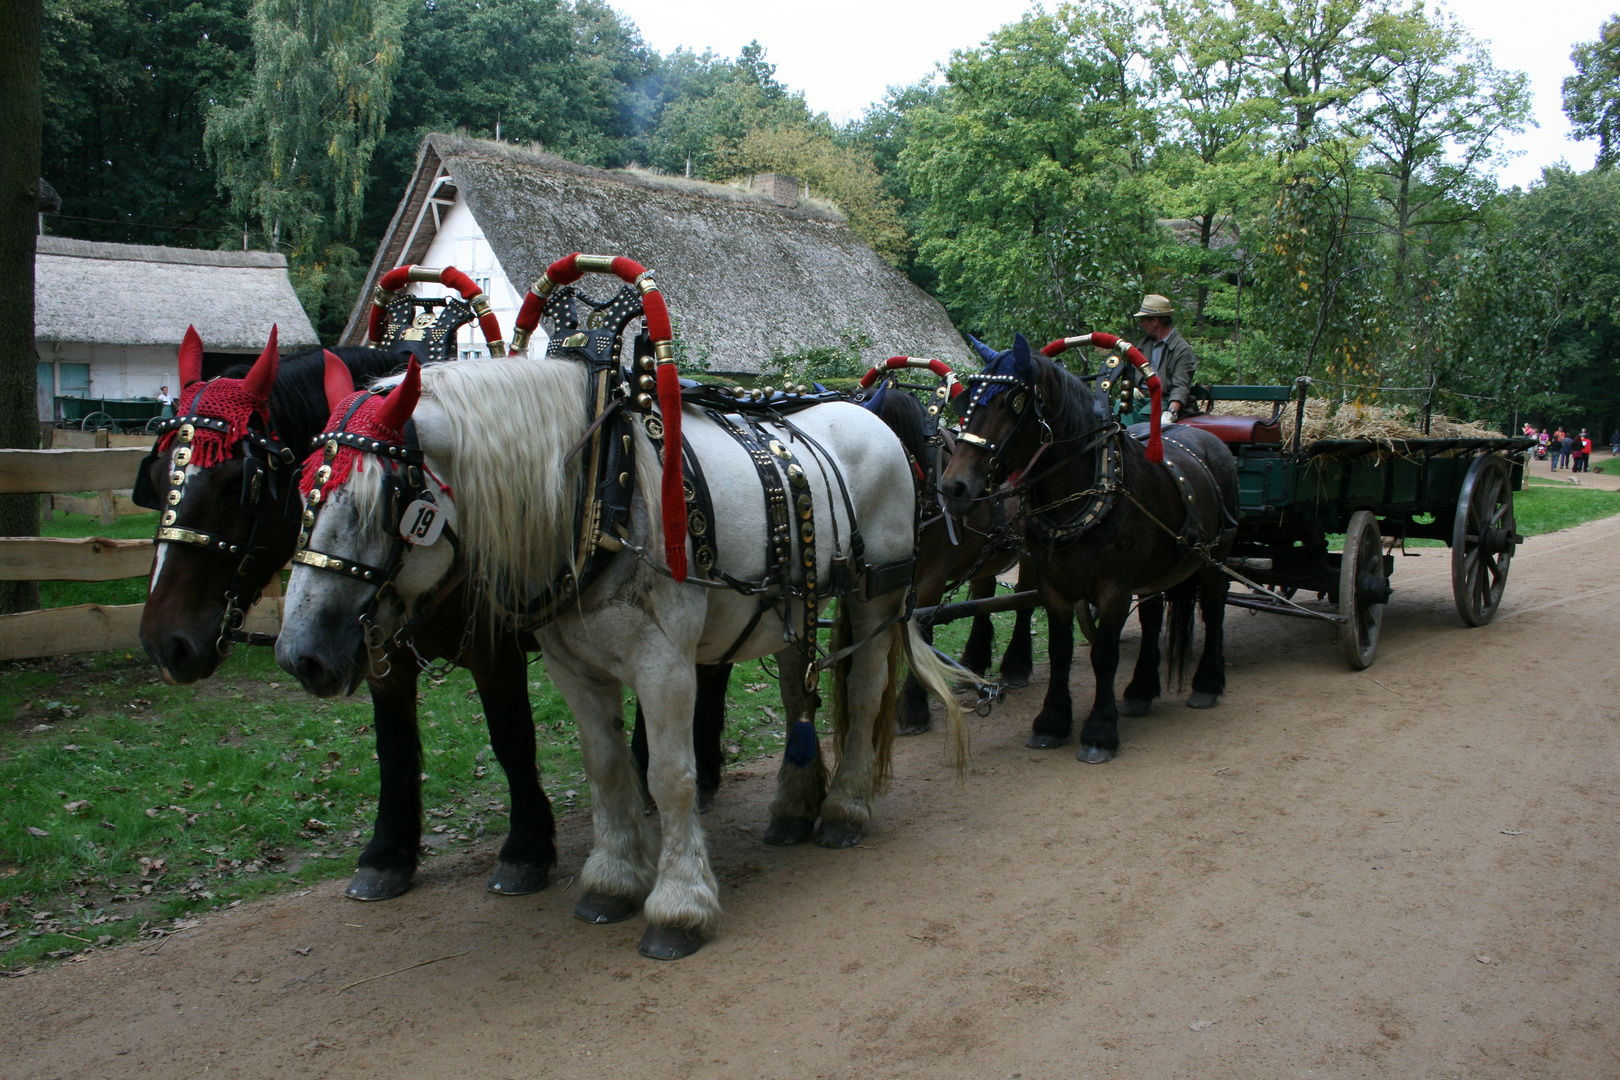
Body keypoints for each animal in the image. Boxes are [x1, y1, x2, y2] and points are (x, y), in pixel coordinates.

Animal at [939, 333, 1237, 764]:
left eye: (1012, 402)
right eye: (968, 401)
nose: (953, 487)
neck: (1083, 494)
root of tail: (1208, 437)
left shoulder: (1113, 589)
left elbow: (1104, 655)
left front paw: (1099, 731)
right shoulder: (1054, 587)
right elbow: (1060, 650)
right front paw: (1051, 721)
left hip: (1214, 559)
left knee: (1214, 611)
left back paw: (1207, 684)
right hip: (1153, 572)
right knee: (1152, 619)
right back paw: (1141, 690)